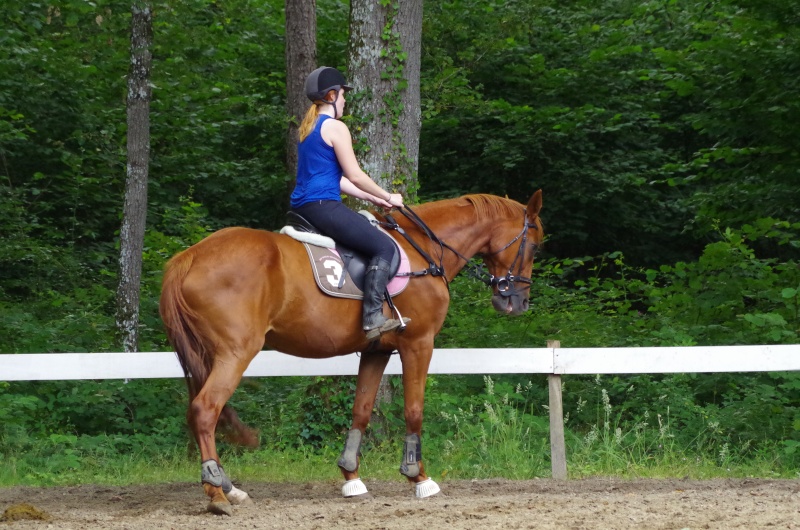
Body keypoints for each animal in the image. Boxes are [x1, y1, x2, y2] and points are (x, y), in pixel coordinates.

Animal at [158, 189, 544, 512]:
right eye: (534, 246)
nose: (518, 302)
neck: (424, 248)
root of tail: (188, 257)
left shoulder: (377, 351)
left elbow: (361, 410)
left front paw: (351, 477)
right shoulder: (418, 343)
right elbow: (414, 409)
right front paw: (418, 477)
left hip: (207, 357)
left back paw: (230, 487)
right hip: (236, 353)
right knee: (205, 410)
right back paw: (216, 493)